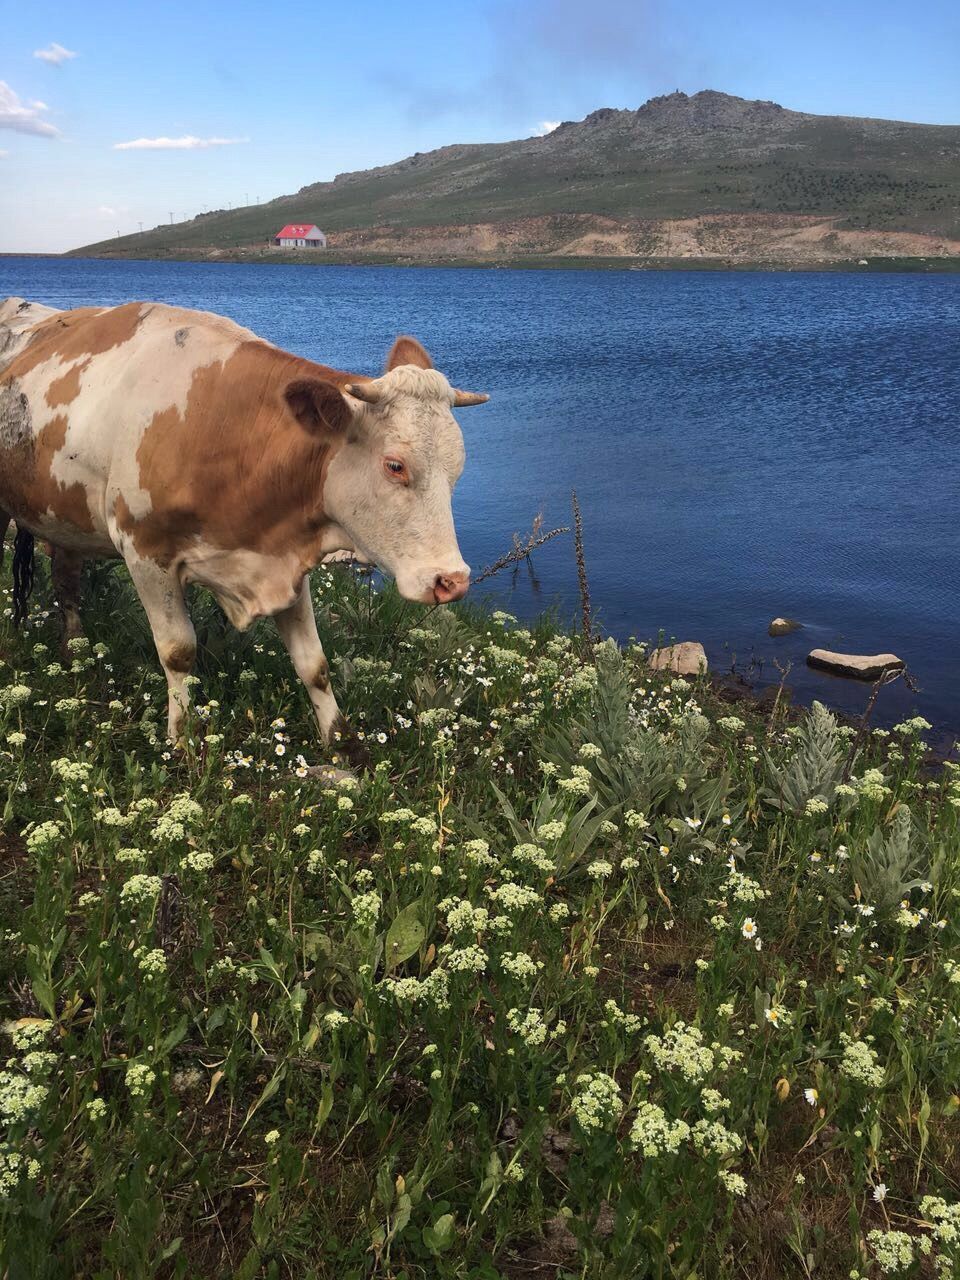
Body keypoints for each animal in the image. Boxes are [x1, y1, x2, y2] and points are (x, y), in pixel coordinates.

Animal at [0, 296, 488, 757]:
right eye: (395, 466)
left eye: (458, 469)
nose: (453, 580)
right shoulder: (144, 551)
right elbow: (178, 652)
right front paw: (182, 740)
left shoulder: (286, 556)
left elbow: (313, 662)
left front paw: (342, 741)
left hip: (64, 511)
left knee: (66, 576)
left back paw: (74, 646)